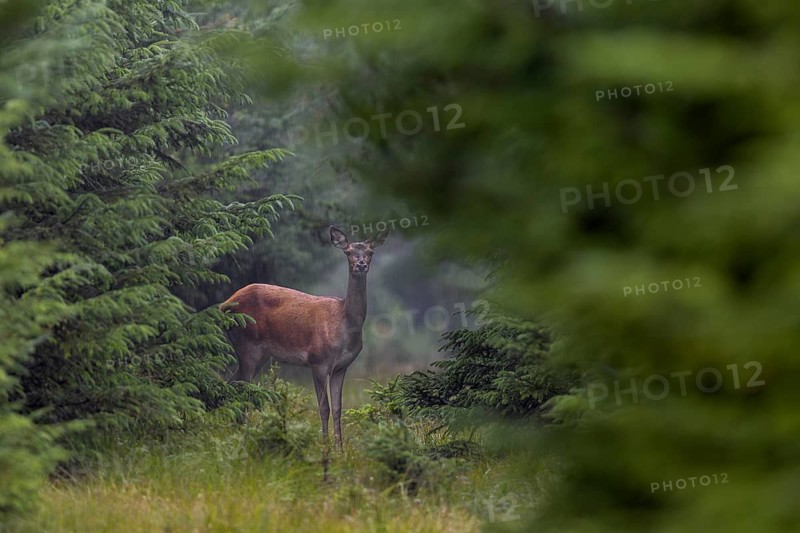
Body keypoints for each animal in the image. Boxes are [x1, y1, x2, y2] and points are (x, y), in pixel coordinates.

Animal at [219, 226, 389, 447]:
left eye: (370, 252)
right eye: (348, 252)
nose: (361, 264)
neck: (342, 323)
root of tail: (224, 306)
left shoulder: (341, 367)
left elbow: (338, 408)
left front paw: (340, 449)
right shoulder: (317, 361)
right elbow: (324, 408)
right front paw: (325, 447)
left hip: (260, 354)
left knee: (232, 384)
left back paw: (235, 431)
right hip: (247, 344)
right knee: (242, 390)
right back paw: (242, 434)